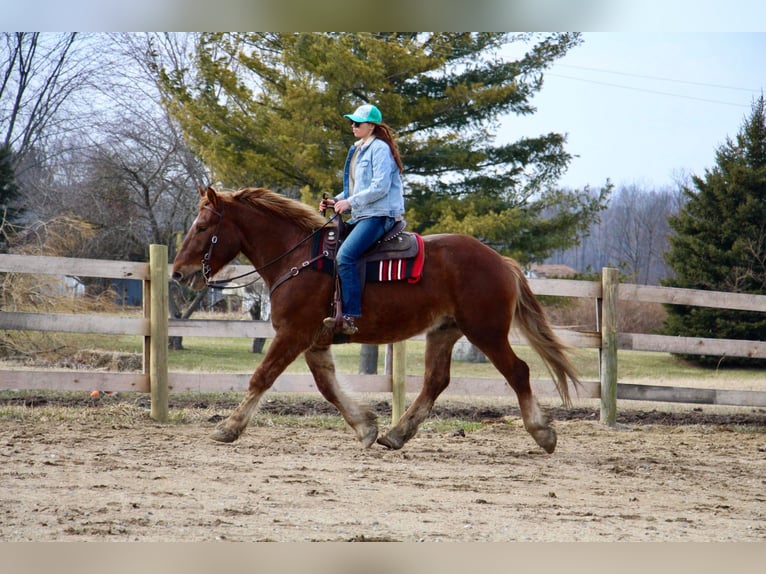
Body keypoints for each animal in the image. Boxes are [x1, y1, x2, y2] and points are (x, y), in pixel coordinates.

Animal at [174, 188, 584, 454]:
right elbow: (327, 386)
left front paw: (228, 428)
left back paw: (542, 433)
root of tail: (502, 261)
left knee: (518, 371)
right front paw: (366, 426)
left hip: (487, 332)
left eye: (202, 227)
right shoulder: (314, 340)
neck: (299, 258)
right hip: (444, 332)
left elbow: (262, 376)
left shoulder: (292, 334)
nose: (179, 273)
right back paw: (397, 434)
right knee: (436, 381)